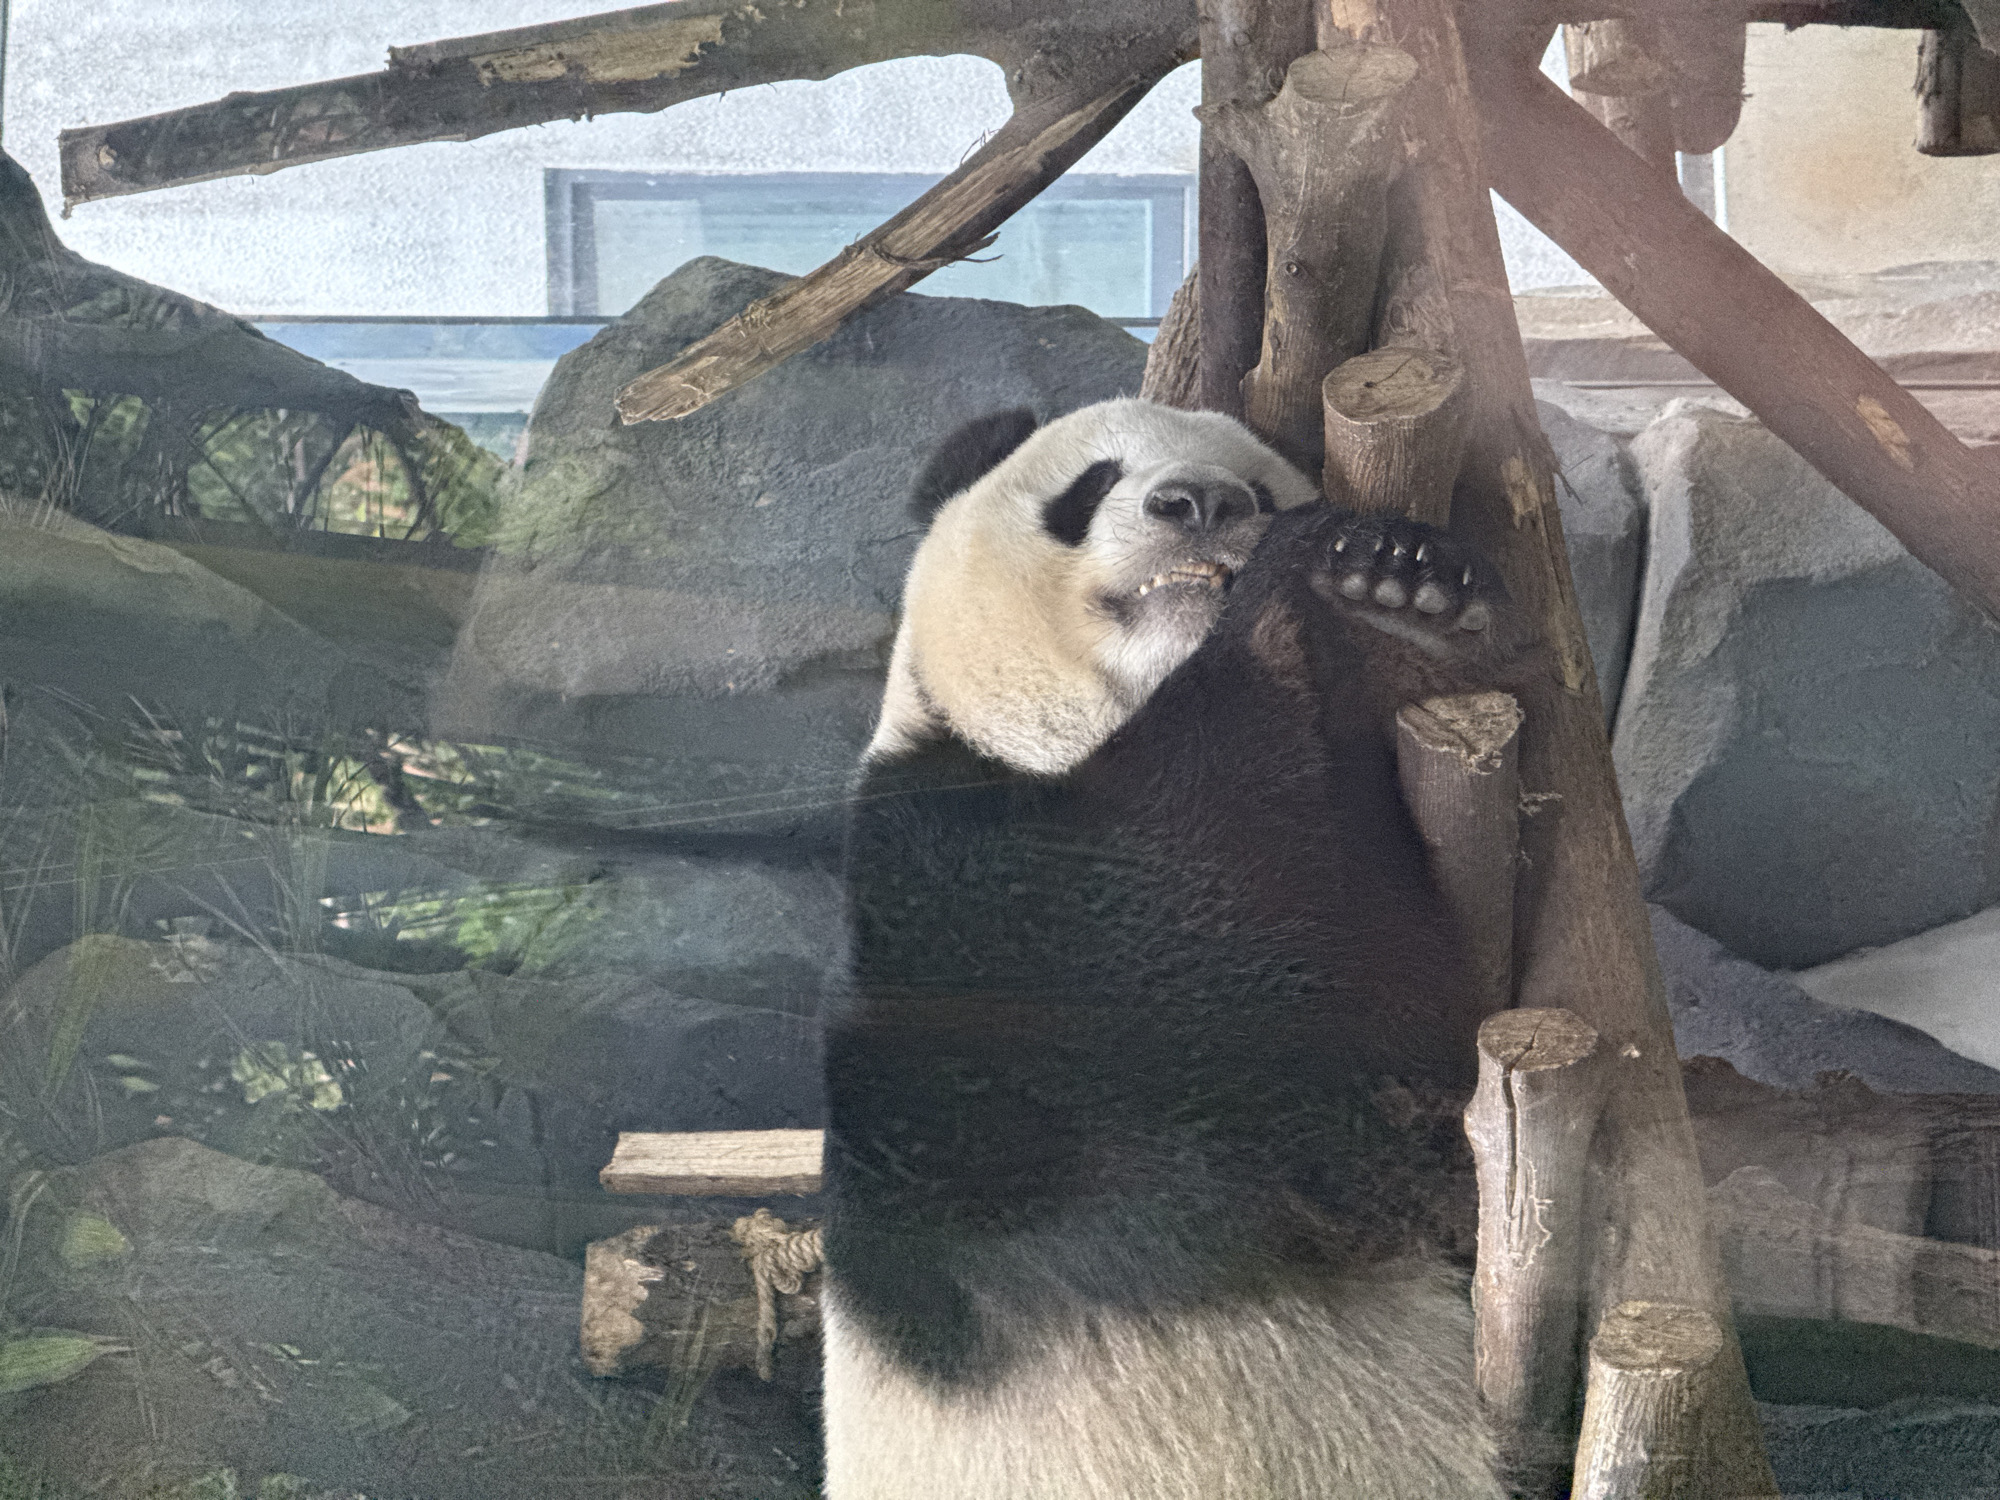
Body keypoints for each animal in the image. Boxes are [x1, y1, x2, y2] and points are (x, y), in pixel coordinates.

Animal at [821, 397, 1520, 1500]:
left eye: (1261, 483)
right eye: (1091, 483)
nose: (1201, 502)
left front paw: (1401, 590)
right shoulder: (966, 880)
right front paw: (1339, 602)